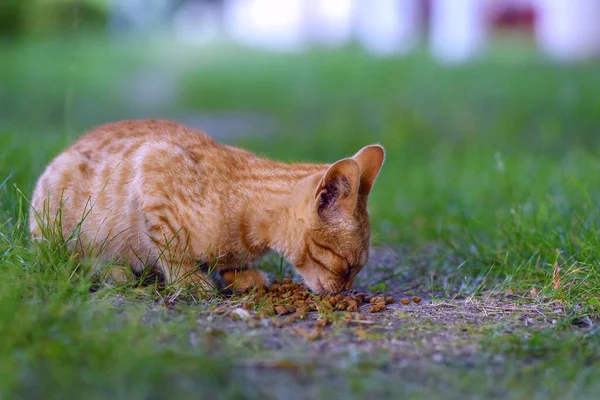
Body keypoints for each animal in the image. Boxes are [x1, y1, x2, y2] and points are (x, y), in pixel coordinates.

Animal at [29, 119, 384, 294]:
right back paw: (114, 271)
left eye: (355, 270)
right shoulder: (153, 162)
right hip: (54, 214)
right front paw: (189, 280)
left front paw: (238, 274)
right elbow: (170, 247)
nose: (344, 292)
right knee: (67, 259)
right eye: (347, 266)